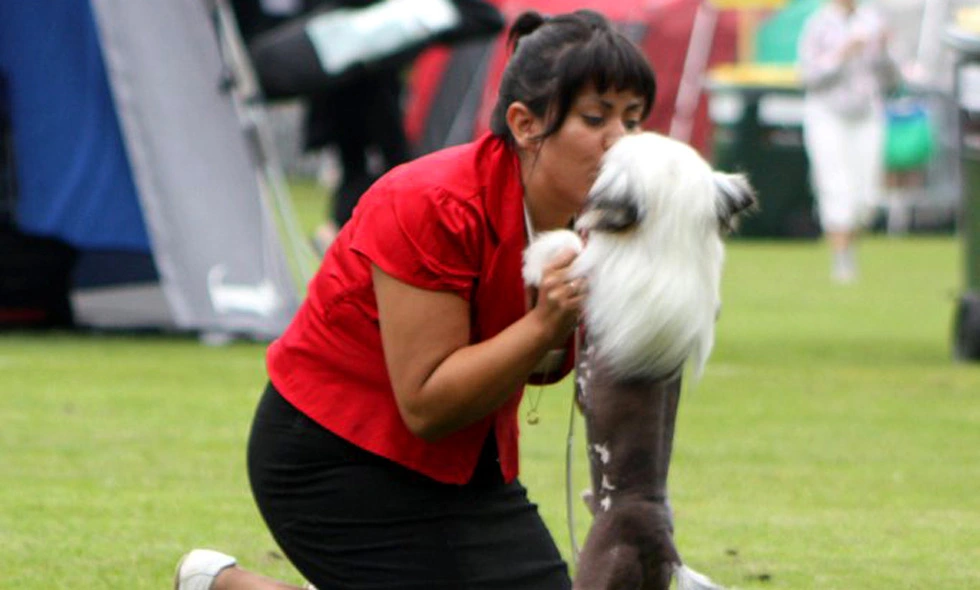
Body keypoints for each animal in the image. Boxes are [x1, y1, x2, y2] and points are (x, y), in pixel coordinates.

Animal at [524, 133, 756, 590]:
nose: (613, 137)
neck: (662, 240)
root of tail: (663, 545)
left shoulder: (587, 277)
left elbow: (567, 249)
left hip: (597, 573)